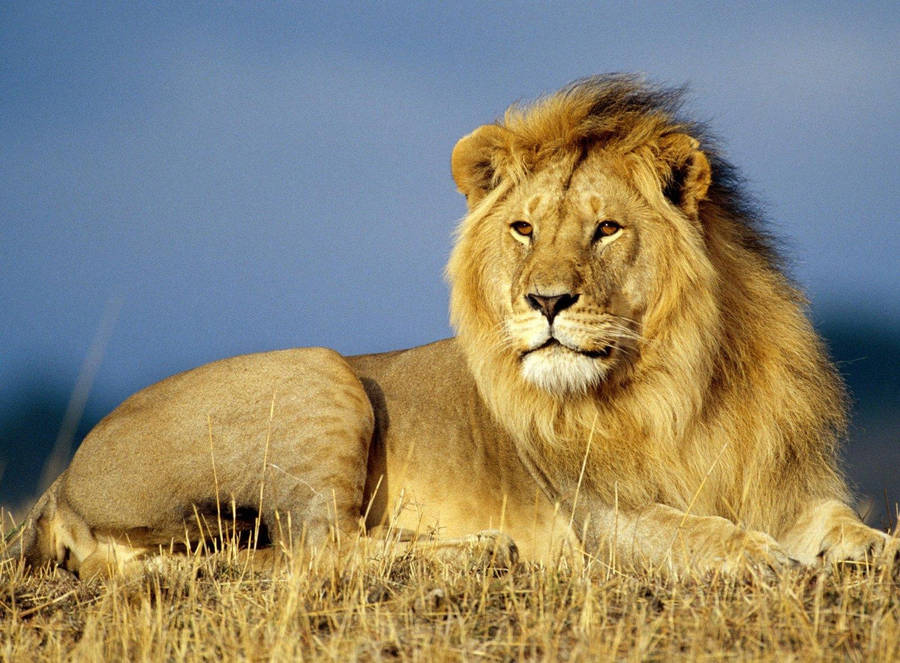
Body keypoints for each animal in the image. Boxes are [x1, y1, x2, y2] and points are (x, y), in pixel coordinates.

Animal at [8, 75, 896, 578]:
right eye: (525, 229)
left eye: (607, 228)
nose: (545, 301)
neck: (680, 381)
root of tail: (61, 479)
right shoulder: (599, 515)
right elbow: (694, 533)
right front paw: (758, 555)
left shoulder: (786, 484)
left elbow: (848, 524)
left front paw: (866, 548)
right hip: (321, 372)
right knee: (316, 550)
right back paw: (481, 550)